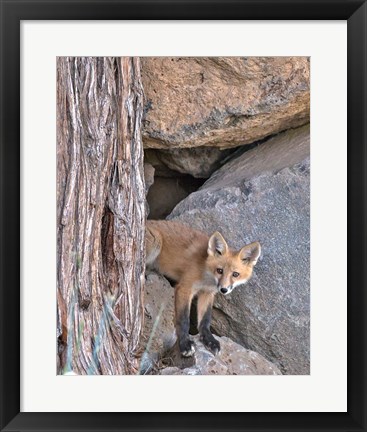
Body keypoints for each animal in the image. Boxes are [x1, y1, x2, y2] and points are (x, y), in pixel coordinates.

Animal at [147, 219, 262, 358]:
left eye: (235, 274)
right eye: (219, 270)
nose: (224, 290)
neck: (206, 277)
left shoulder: (207, 293)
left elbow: (205, 320)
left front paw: (209, 340)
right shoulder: (184, 288)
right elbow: (184, 320)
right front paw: (185, 344)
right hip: (155, 241)